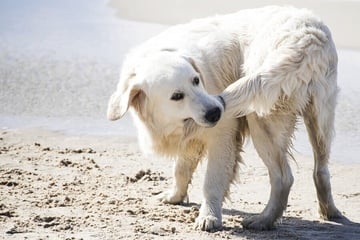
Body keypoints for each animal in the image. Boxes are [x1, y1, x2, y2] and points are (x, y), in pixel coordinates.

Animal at [107, 5, 344, 231]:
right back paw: (329, 211)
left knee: (284, 177)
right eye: (177, 96)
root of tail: (308, 37)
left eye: (196, 80)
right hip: (320, 119)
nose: (216, 111)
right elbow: (181, 169)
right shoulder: (190, 138)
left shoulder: (223, 135)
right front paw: (175, 196)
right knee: (321, 170)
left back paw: (263, 220)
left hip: (261, 119)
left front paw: (209, 217)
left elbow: (211, 181)